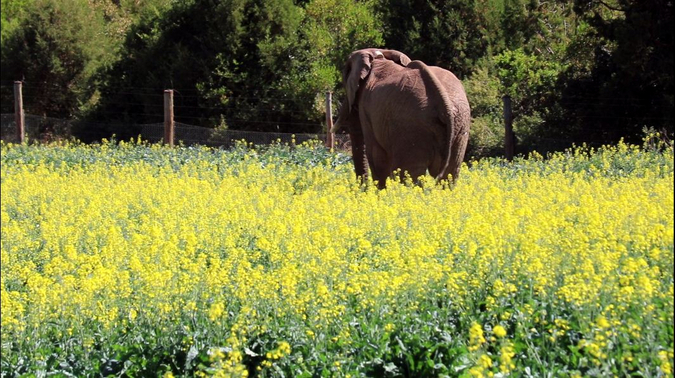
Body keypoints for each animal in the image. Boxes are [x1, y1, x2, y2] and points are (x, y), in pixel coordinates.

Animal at [332, 48, 470, 188]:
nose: (362, 190)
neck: (379, 56)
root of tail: (444, 103)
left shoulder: (366, 108)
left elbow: (376, 158)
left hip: (411, 129)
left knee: (410, 175)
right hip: (460, 124)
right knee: (449, 175)